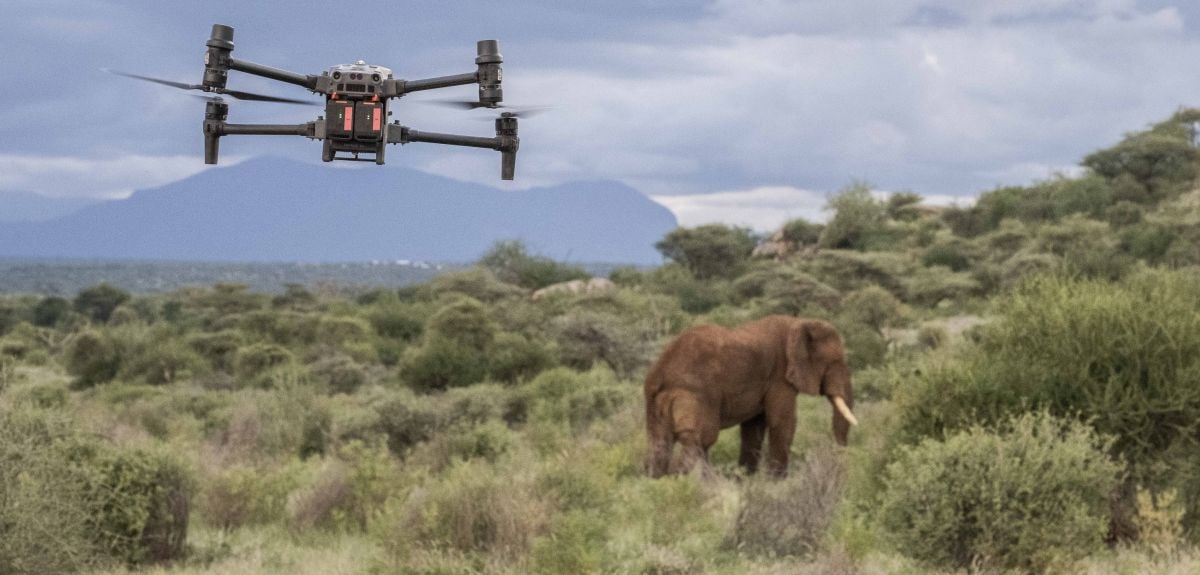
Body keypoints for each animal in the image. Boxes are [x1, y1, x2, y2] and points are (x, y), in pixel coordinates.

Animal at [644, 315, 857, 477]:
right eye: (834, 362)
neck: (799, 322)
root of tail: (660, 373)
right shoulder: (780, 376)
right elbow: (783, 421)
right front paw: (776, 483)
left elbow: (753, 428)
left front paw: (746, 480)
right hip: (694, 394)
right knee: (699, 439)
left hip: (655, 403)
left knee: (660, 443)